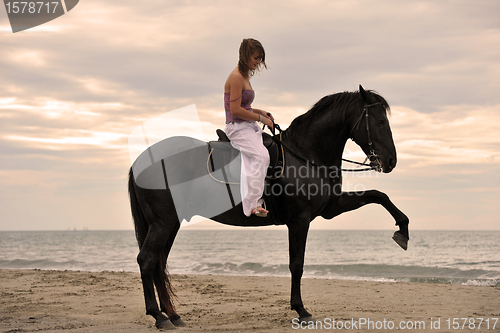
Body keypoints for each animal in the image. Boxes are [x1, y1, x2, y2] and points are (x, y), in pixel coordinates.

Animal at [127, 84, 408, 328]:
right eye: (380, 122)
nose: (391, 161)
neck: (305, 153)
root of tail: (141, 161)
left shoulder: (331, 207)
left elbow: (379, 195)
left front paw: (402, 230)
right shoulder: (299, 220)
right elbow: (297, 265)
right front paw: (301, 310)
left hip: (170, 223)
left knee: (158, 262)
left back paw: (173, 315)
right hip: (163, 223)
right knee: (147, 260)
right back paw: (159, 316)